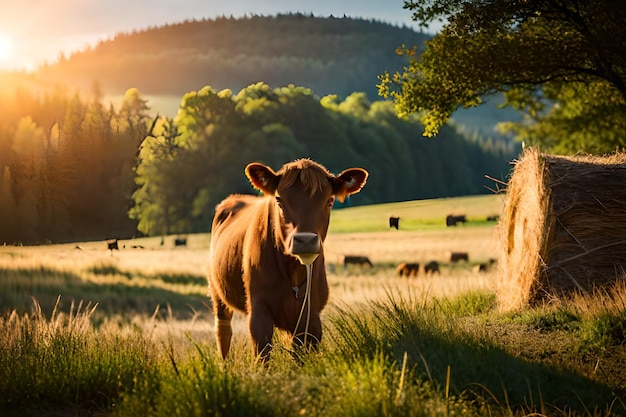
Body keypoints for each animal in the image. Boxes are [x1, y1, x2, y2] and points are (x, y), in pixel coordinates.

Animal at [207, 158, 368, 360]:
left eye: (330, 200)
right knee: (223, 331)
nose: (305, 240)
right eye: (279, 200)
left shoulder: (311, 316)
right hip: (217, 290)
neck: (294, 272)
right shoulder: (259, 309)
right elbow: (262, 353)